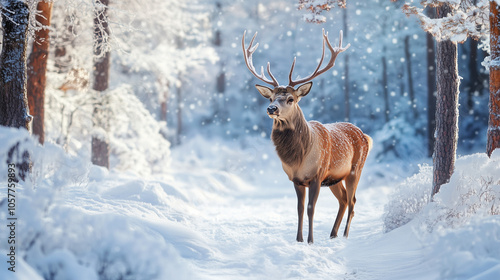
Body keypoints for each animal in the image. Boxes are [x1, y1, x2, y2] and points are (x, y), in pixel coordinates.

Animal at [242, 28, 372, 243]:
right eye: (270, 98)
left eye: (290, 98)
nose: (271, 108)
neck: (299, 157)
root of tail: (366, 136)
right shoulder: (296, 179)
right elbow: (300, 209)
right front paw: (299, 240)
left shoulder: (317, 175)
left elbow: (311, 208)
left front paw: (310, 241)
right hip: (336, 177)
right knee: (344, 199)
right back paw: (333, 234)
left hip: (356, 169)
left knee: (353, 200)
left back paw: (344, 236)